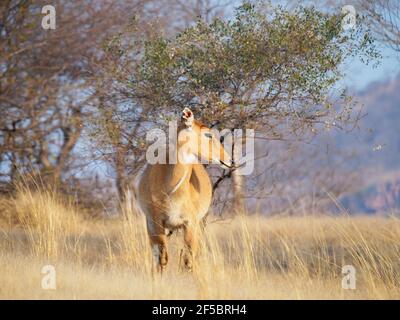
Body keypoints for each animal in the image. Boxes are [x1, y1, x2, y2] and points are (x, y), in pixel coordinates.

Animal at [138, 107, 231, 272]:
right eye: (208, 134)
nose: (228, 160)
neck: (171, 190)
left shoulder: (189, 223)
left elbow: (188, 261)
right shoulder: (156, 222)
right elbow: (162, 259)